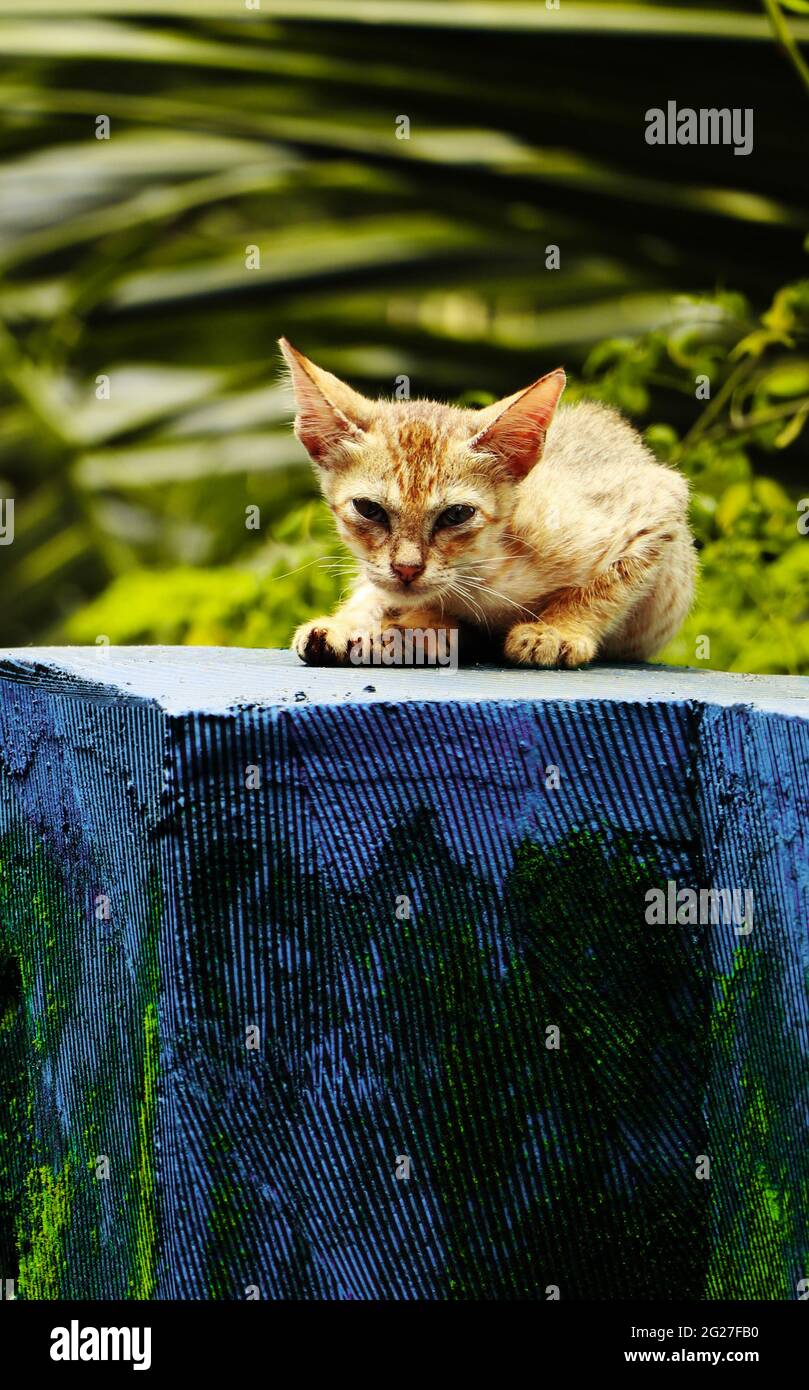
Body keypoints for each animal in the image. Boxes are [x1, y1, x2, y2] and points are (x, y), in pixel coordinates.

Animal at [279, 333, 697, 664]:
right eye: (369, 509)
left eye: (456, 515)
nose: (408, 570)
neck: (479, 576)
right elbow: (376, 596)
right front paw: (347, 624)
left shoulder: (658, 498)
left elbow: (606, 584)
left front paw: (556, 631)